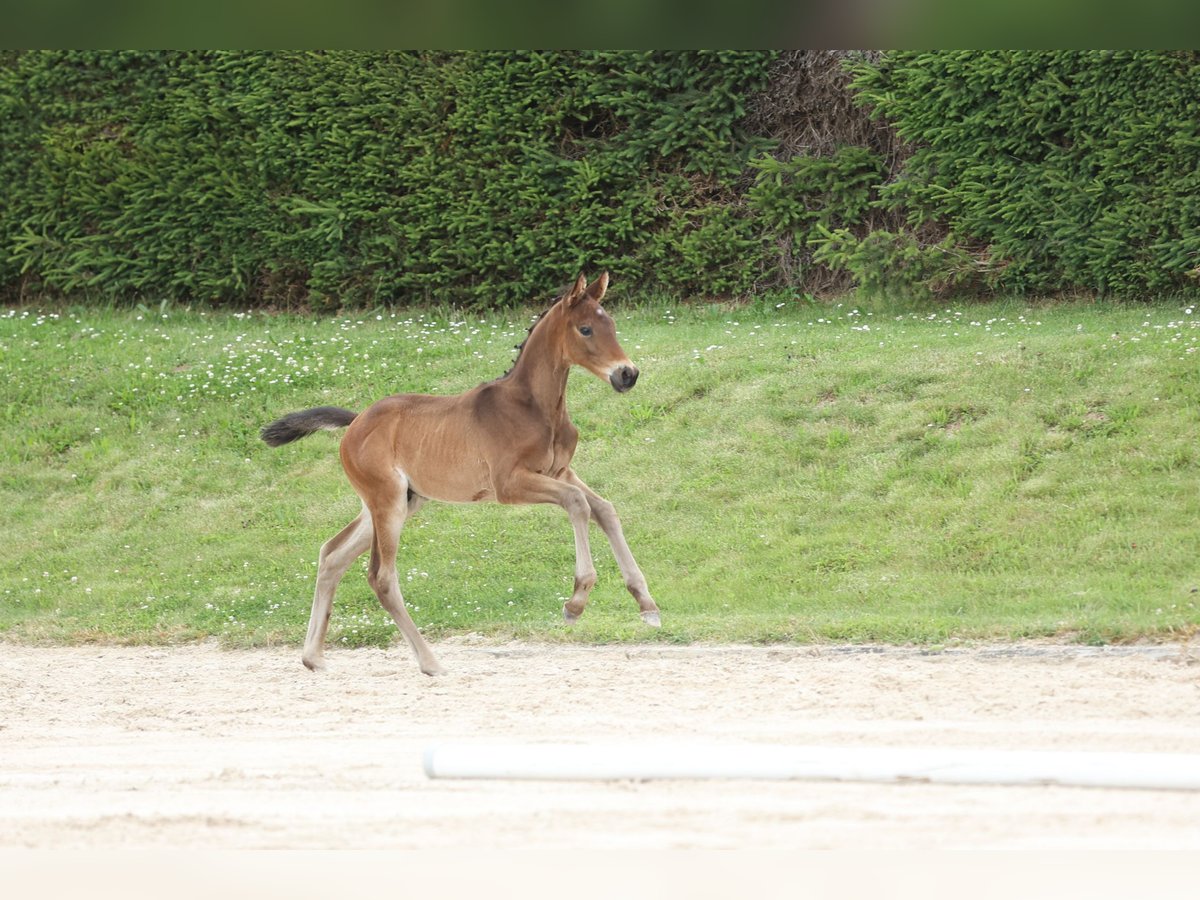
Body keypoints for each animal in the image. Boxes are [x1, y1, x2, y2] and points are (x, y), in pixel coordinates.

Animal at [260, 274, 667, 676]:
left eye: (611, 324)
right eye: (585, 329)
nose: (628, 374)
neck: (532, 406)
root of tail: (356, 421)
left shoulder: (560, 470)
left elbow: (604, 508)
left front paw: (646, 604)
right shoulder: (510, 484)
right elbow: (578, 503)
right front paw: (575, 603)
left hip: (400, 502)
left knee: (332, 554)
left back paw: (313, 657)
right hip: (387, 503)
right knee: (381, 577)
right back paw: (430, 663)